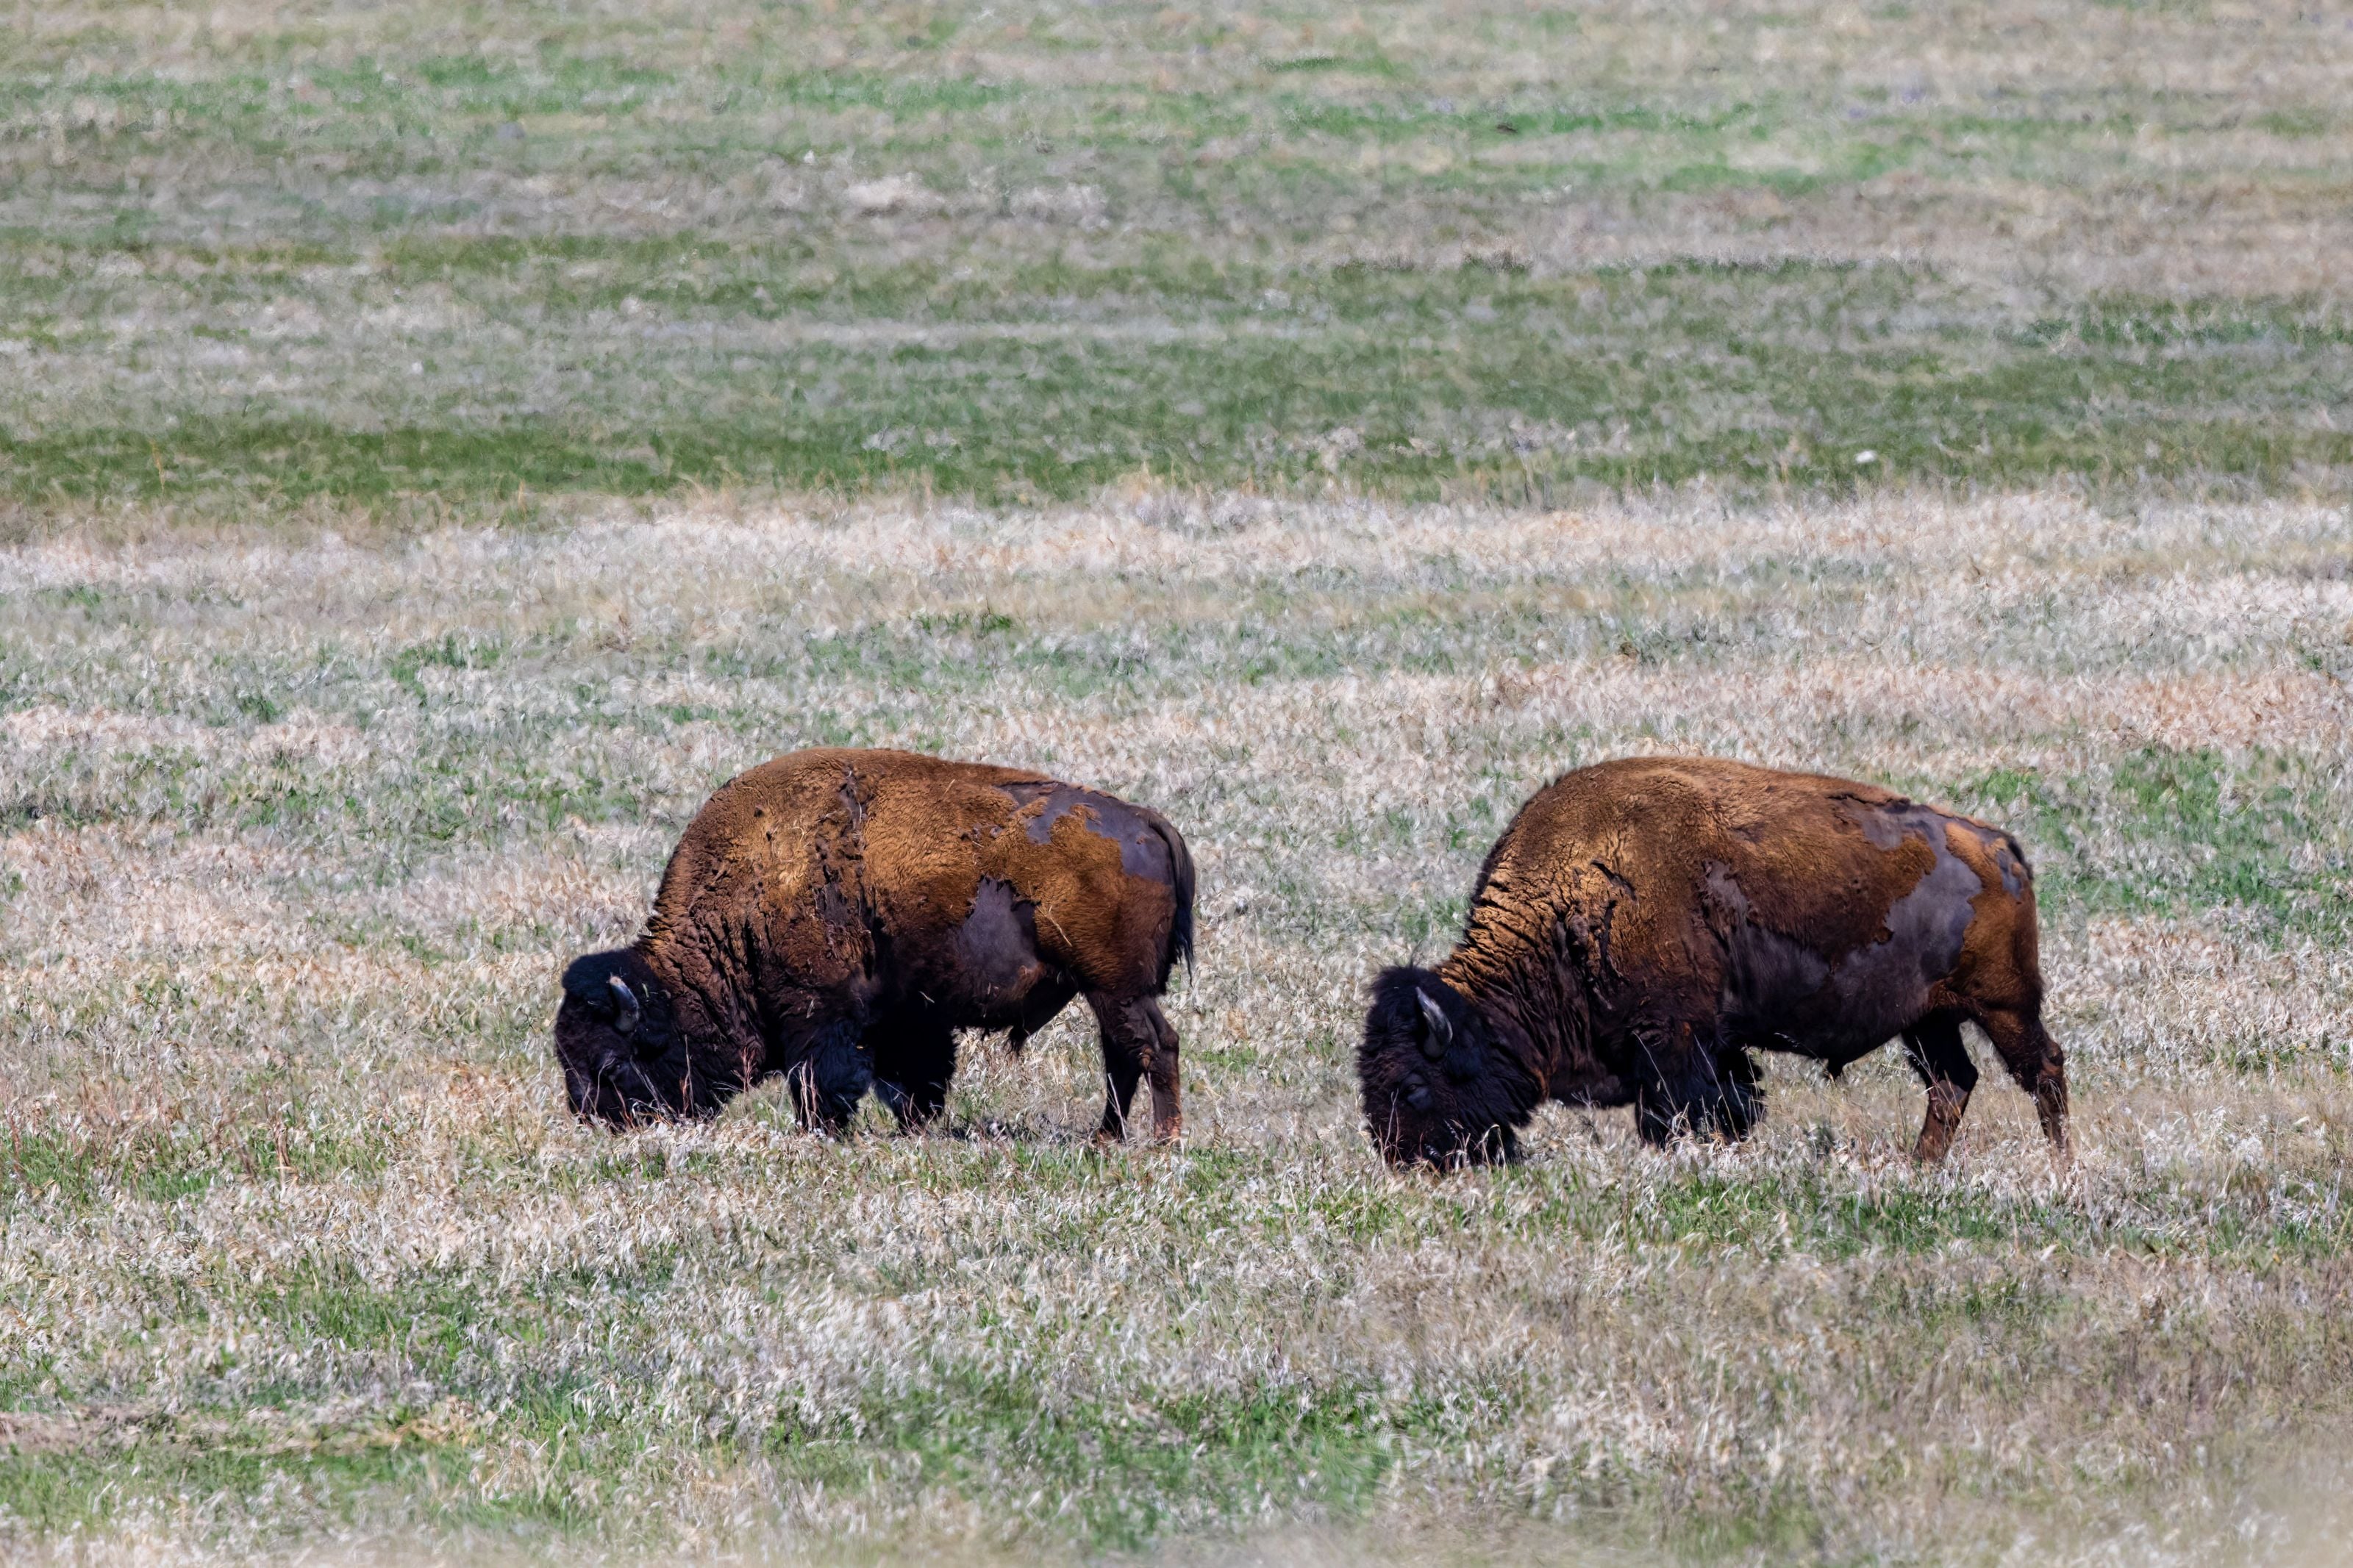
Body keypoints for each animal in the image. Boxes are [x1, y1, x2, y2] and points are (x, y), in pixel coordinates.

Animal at [557, 748, 1194, 1140]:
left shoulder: (820, 1011)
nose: (596, 1122)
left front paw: (822, 1132)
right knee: (1123, 1055)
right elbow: (914, 1078)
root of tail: (1147, 821)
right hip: (1108, 991)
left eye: (612, 1065)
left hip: (1115, 987)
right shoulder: (905, 1015)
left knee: (1152, 1047)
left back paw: (1160, 1140)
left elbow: (823, 1078)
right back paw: (1107, 1138)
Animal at [1360, 756, 2069, 1168]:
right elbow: (1733, 1104)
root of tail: (2000, 847)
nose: (1404, 1161)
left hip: (2003, 1005)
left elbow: (1681, 1112)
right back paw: (1920, 1167)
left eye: (1413, 1086)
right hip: (1929, 1020)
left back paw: (2062, 1166)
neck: (1568, 906)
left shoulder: (1674, 1040)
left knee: (2043, 1069)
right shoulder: (1714, 1045)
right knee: (1952, 1082)